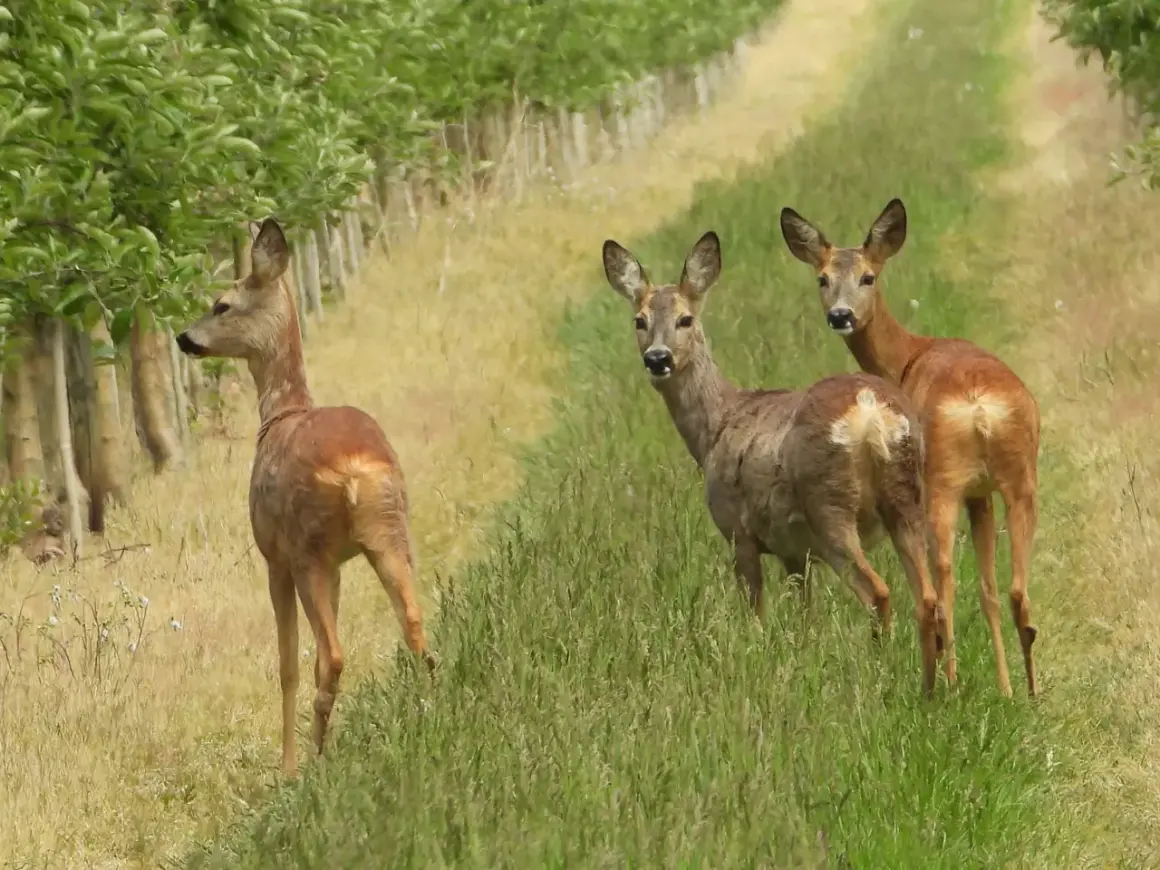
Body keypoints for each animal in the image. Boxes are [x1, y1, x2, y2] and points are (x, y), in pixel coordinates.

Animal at [175, 218, 436, 776]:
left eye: (221, 304)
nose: (184, 337)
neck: (280, 414)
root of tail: (356, 472)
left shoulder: (274, 556)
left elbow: (287, 663)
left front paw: (287, 765)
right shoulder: (337, 562)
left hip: (306, 548)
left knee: (333, 654)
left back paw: (313, 755)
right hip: (389, 530)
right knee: (413, 621)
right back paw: (430, 705)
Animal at [602, 230, 944, 696]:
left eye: (685, 319)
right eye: (639, 320)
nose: (658, 358)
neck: (716, 426)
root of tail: (871, 410)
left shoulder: (738, 531)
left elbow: (756, 612)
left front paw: (758, 655)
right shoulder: (794, 551)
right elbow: (804, 614)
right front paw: (803, 656)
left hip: (830, 504)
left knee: (878, 591)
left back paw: (882, 673)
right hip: (905, 497)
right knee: (927, 597)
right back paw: (931, 687)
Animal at [779, 198, 1041, 698]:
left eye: (868, 276)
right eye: (822, 278)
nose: (840, 315)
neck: (907, 357)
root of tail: (979, 409)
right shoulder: (980, 494)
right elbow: (989, 589)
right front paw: (1004, 688)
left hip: (938, 480)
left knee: (943, 578)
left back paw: (951, 681)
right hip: (1021, 480)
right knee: (1017, 590)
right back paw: (1031, 693)